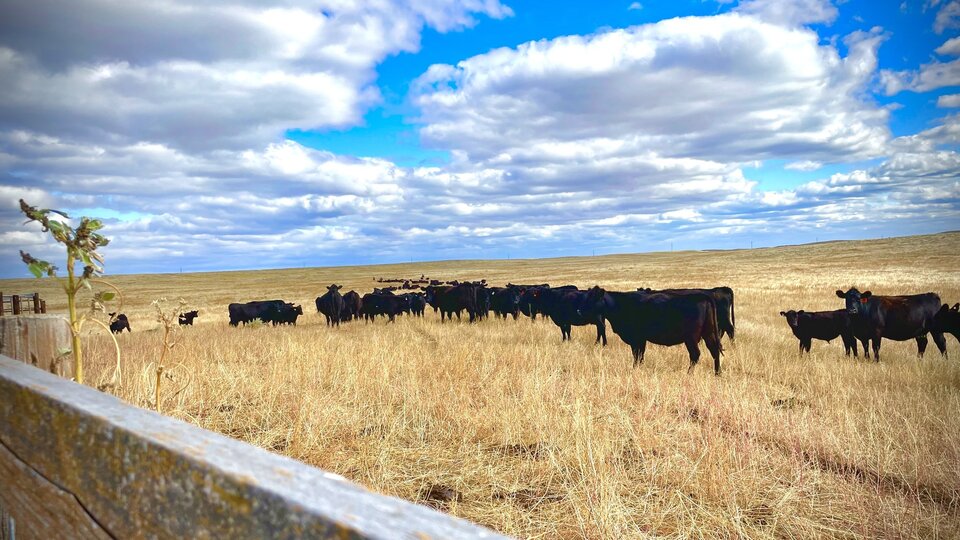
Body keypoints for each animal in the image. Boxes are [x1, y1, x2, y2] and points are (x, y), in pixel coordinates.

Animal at [580, 286, 723, 374]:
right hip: (709, 333)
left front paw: (634, 369)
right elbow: (640, 356)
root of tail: (703, 296)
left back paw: (689, 373)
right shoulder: (641, 340)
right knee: (714, 352)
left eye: (593, 299)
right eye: (586, 297)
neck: (620, 304)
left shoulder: (636, 339)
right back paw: (717, 373)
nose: (579, 310)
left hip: (691, 338)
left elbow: (636, 355)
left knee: (695, 355)